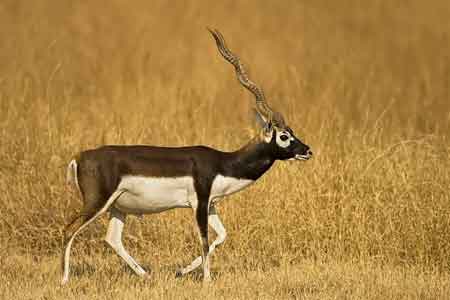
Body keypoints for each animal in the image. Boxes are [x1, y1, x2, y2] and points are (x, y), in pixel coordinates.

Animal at [60, 29, 312, 284]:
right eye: (284, 136)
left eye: (292, 132)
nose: (307, 151)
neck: (224, 163)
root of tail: (79, 157)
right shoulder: (199, 203)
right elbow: (204, 239)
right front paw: (207, 280)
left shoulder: (211, 204)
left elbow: (222, 235)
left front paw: (182, 270)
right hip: (97, 202)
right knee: (69, 230)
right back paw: (64, 280)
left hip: (118, 207)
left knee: (112, 239)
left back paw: (146, 276)